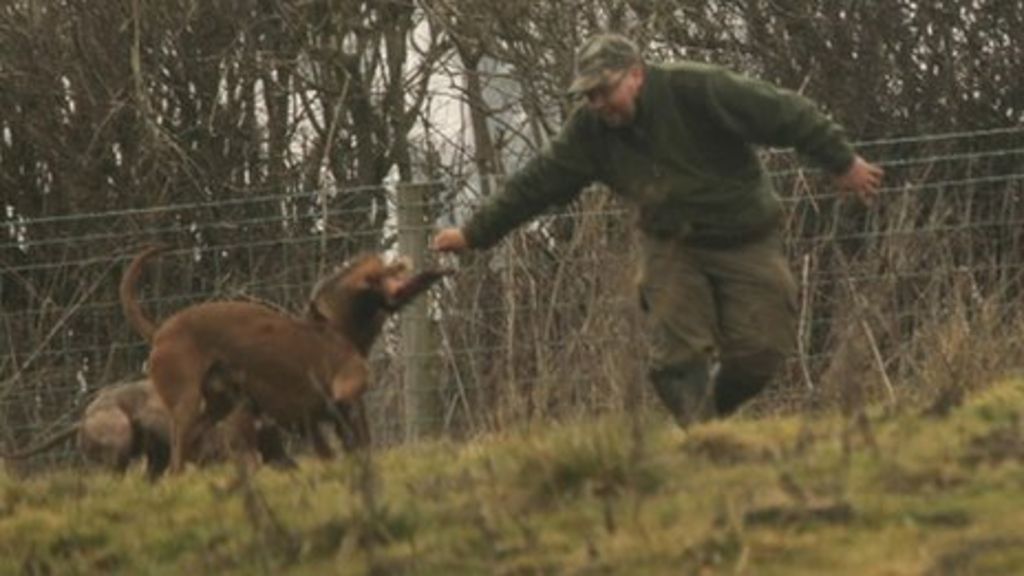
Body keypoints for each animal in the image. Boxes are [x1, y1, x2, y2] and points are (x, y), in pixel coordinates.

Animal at [120, 241, 448, 471]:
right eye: (385, 274)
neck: (335, 326)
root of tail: (161, 331)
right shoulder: (342, 401)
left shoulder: (317, 421)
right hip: (187, 406)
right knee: (179, 460)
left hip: (219, 407)